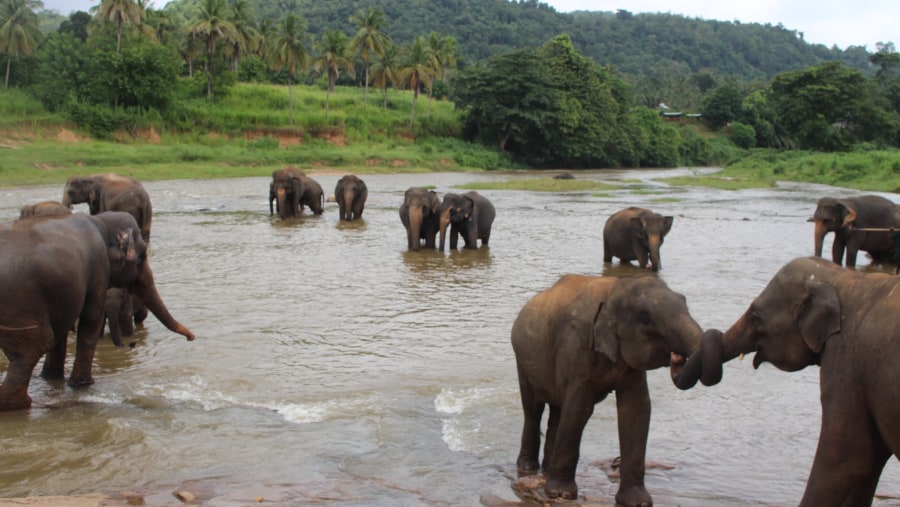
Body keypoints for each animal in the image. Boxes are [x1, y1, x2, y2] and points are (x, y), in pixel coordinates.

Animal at [0, 212, 195, 410]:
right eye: (142, 256)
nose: (191, 338)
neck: (101, 221)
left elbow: (63, 330)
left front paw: (52, 378)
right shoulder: (99, 269)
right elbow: (91, 319)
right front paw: (83, 384)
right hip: (20, 307)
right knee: (32, 348)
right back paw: (20, 403)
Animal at [510, 274, 720, 504]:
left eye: (685, 302)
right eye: (645, 318)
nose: (677, 358)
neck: (616, 288)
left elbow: (636, 410)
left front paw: (638, 502)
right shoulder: (576, 346)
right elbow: (579, 409)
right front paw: (561, 494)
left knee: (557, 410)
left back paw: (547, 469)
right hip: (523, 361)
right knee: (533, 408)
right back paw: (527, 467)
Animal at [680, 258, 896, 507]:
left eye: (755, 317)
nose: (676, 358)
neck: (841, 277)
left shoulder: (845, 360)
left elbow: (845, 458)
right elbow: (870, 461)